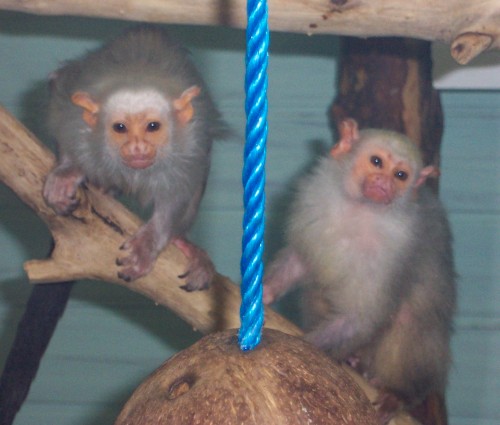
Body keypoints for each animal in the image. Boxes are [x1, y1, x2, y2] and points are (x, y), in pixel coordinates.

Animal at [44, 26, 226, 290]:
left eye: (152, 126)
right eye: (120, 127)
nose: (137, 148)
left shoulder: (194, 139)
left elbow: (182, 188)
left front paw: (149, 243)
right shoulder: (71, 102)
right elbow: (61, 113)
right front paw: (68, 172)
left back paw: (181, 242)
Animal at [266, 117, 458, 420]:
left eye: (401, 175)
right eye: (376, 162)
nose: (384, 183)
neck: (359, 210)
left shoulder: (395, 247)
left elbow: (364, 315)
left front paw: (303, 346)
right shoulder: (314, 200)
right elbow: (300, 260)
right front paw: (265, 292)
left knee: (410, 319)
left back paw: (398, 393)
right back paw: (353, 360)